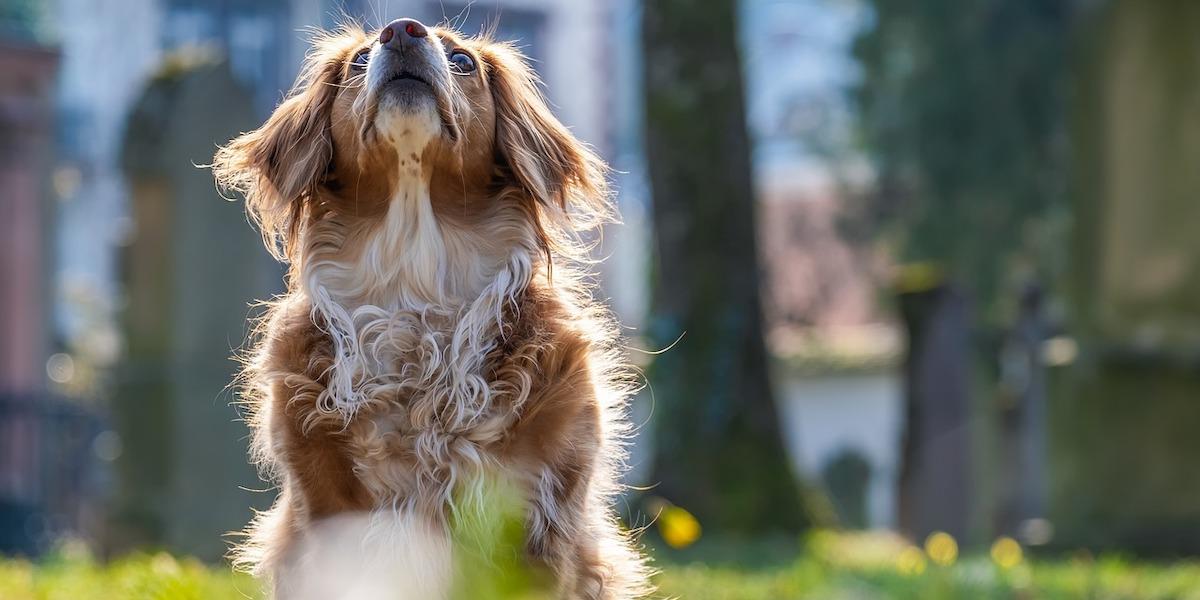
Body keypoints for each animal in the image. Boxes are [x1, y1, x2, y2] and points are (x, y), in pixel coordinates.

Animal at [211, 18, 652, 600]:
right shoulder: (327, 518)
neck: (414, 283)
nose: (401, 30)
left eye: (463, 60)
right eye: (357, 61)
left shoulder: (539, 519)